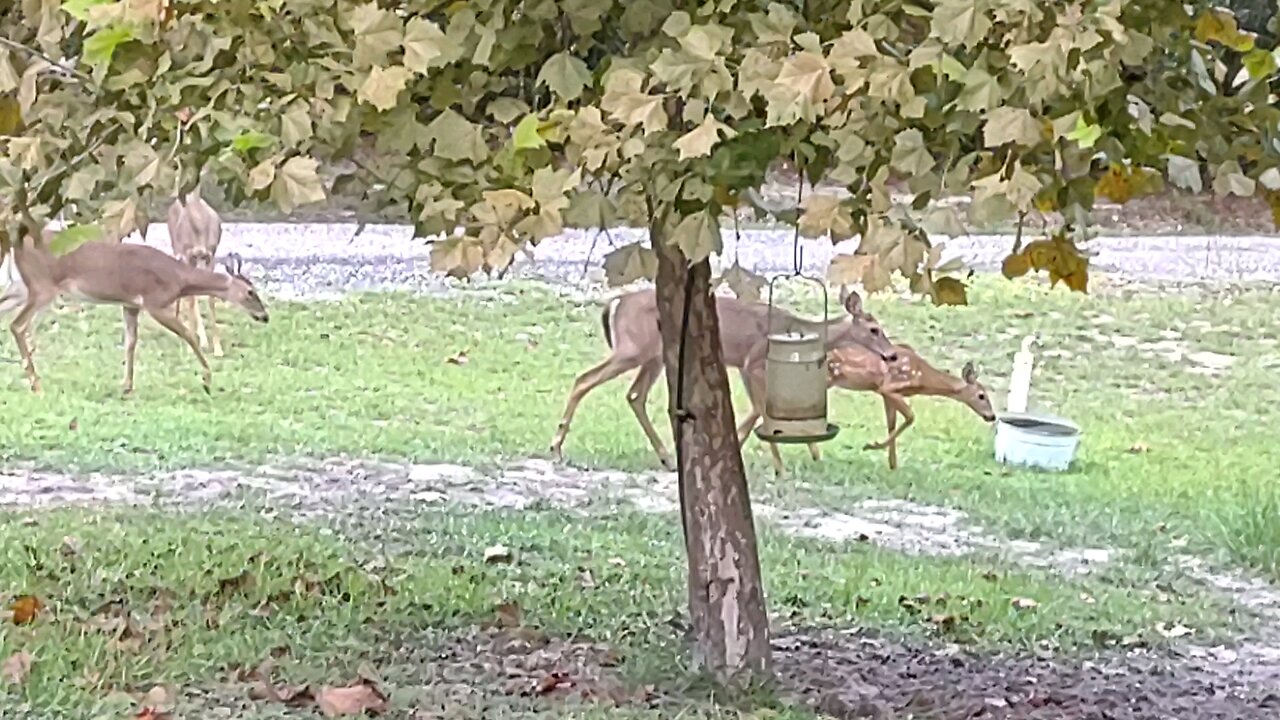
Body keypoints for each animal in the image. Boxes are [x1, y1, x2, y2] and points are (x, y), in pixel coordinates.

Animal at [1, 229, 269, 395]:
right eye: (250, 292)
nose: (265, 316)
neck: (179, 279)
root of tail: (16, 245)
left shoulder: (131, 304)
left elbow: (130, 342)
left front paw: (127, 386)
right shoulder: (155, 303)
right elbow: (188, 335)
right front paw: (207, 378)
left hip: (24, 286)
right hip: (42, 287)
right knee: (18, 325)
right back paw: (36, 385)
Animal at [167, 190, 225, 356]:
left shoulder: (210, 257)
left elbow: (211, 298)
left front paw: (218, 349)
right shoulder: (187, 256)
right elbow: (191, 300)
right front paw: (190, 346)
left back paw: (203, 341)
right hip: (177, 251)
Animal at [549, 286, 899, 471]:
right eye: (874, 329)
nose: (892, 354)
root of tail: (615, 303)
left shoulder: (746, 366)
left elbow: (759, 409)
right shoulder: (751, 361)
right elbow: (761, 408)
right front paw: (777, 463)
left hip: (653, 356)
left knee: (635, 396)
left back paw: (667, 457)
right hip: (631, 349)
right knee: (584, 380)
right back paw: (556, 446)